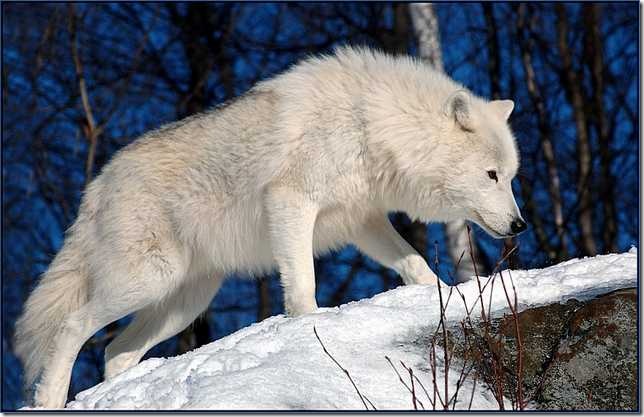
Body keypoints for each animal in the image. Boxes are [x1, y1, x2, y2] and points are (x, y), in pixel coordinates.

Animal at [15, 45, 524, 406]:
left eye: (510, 176)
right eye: (491, 176)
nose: (520, 225)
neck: (370, 122)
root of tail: (99, 183)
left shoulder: (363, 221)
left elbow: (416, 265)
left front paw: (444, 296)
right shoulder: (291, 202)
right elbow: (303, 285)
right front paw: (310, 327)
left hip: (185, 303)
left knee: (114, 352)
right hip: (146, 280)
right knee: (71, 327)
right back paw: (50, 399)